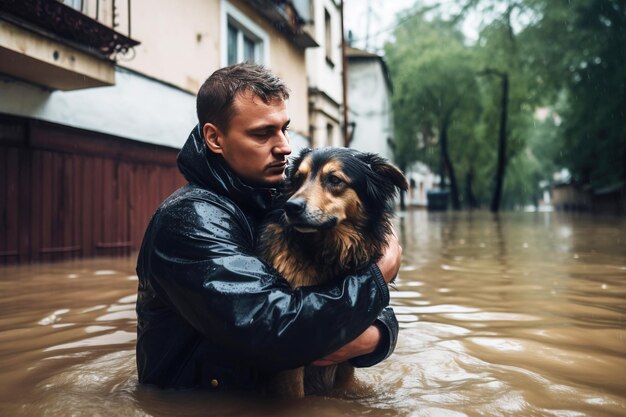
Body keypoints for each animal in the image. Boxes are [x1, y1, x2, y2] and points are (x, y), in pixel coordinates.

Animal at [256, 146, 408, 396]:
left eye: (334, 180)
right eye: (298, 179)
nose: (291, 207)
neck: (326, 253)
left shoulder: (346, 364)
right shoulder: (289, 364)